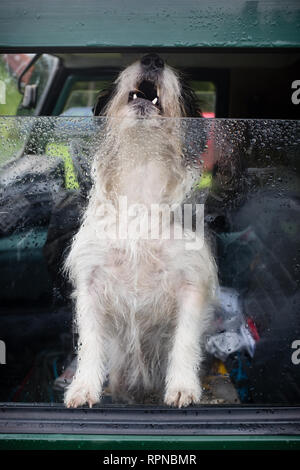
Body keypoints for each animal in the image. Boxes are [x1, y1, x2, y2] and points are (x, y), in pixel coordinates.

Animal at [63, 54, 218, 408]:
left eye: (184, 85)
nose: (152, 58)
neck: (142, 170)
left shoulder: (192, 281)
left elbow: (185, 340)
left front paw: (182, 387)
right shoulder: (91, 283)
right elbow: (90, 343)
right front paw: (83, 387)